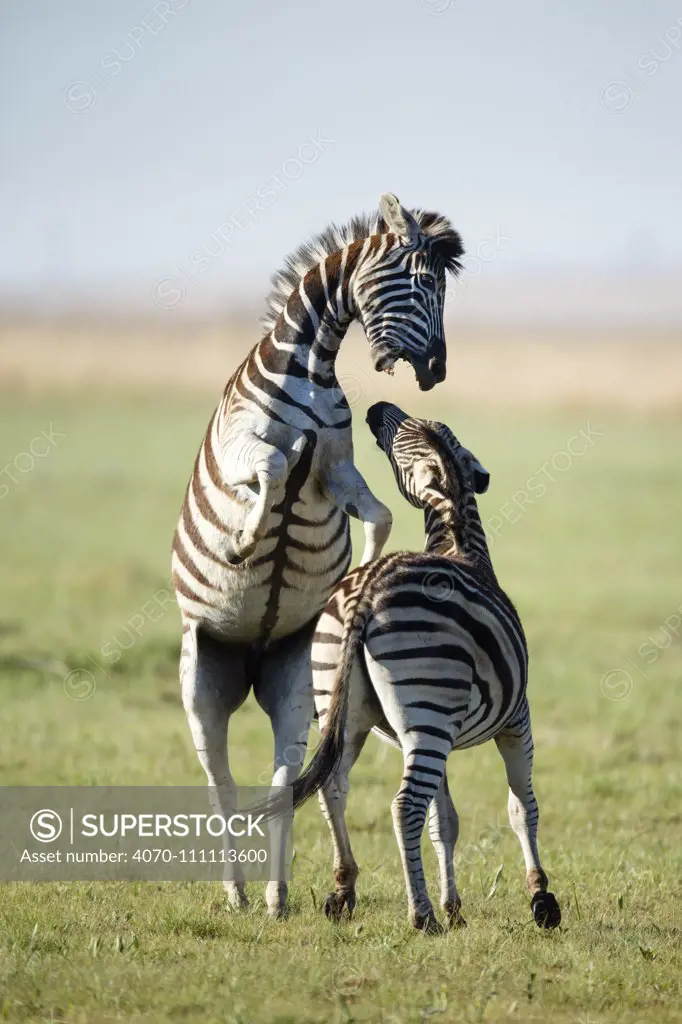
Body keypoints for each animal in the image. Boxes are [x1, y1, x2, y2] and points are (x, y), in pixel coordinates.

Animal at [169, 195, 462, 917]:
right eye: (423, 283)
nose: (438, 371)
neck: (309, 367)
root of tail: (248, 658)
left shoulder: (337, 467)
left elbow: (381, 514)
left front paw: (354, 570)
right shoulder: (248, 449)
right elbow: (273, 470)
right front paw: (244, 542)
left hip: (295, 678)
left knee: (285, 776)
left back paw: (276, 896)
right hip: (202, 676)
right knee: (219, 779)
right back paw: (238, 893)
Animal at [284, 403, 557, 933]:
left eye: (399, 436)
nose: (375, 409)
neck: (460, 546)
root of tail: (368, 590)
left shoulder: (441, 733)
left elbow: (445, 821)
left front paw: (456, 906)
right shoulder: (517, 719)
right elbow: (521, 806)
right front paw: (541, 898)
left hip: (348, 711)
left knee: (334, 787)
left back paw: (344, 890)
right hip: (428, 709)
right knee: (405, 805)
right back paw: (421, 913)